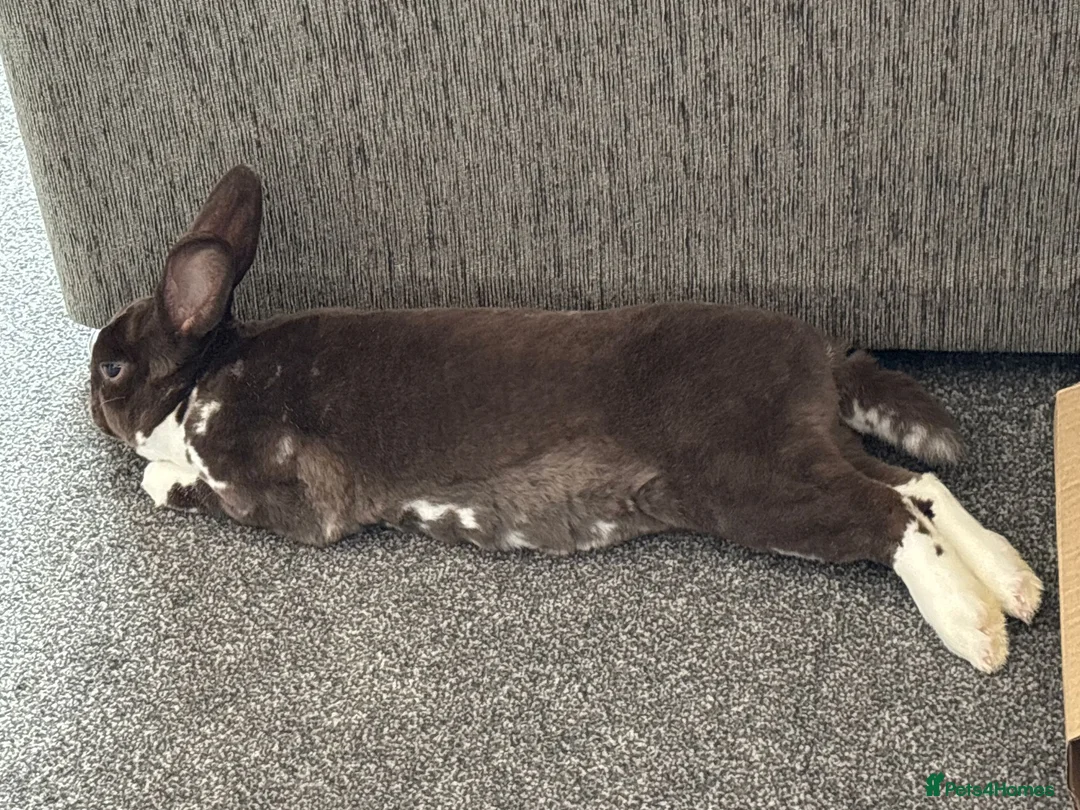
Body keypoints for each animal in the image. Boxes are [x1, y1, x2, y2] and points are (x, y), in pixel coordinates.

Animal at [89, 165, 1043, 674]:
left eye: (112, 367)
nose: (86, 397)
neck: (207, 375)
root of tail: (819, 355)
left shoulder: (281, 497)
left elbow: (181, 484)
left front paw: (153, 471)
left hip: (752, 480)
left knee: (888, 517)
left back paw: (978, 631)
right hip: (802, 447)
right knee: (918, 484)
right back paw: (1017, 585)